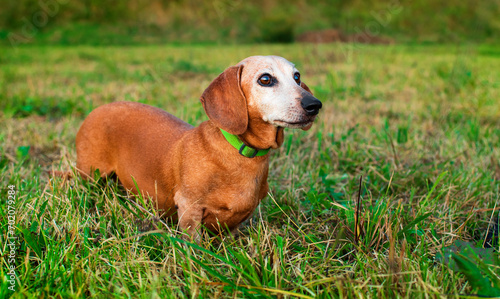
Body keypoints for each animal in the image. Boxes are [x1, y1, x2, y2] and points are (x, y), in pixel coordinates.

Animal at [76, 55, 322, 239]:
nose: (315, 105)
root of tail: (97, 110)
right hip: (90, 175)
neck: (238, 153)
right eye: (265, 79)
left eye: (297, 77)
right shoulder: (189, 208)